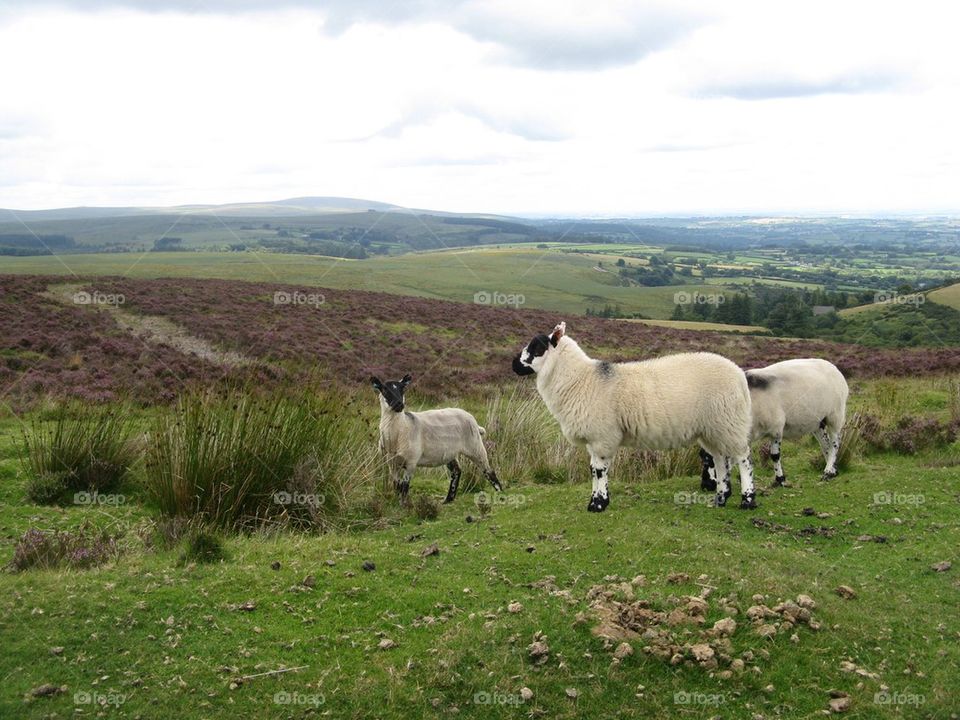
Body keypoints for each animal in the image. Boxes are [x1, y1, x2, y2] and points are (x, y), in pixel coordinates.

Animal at [370, 374, 502, 503]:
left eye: (402, 389)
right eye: (384, 390)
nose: (399, 405)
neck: (401, 429)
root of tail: (471, 418)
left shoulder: (411, 461)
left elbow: (405, 487)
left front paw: (403, 505)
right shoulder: (391, 463)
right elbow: (397, 485)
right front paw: (397, 503)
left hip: (475, 446)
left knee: (489, 471)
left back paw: (500, 493)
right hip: (450, 452)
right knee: (457, 471)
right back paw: (448, 499)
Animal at [512, 322, 757, 511]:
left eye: (536, 347)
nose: (514, 364)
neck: (581, 379)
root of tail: (739, 374)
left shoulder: (602, 436)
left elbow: (599, 470)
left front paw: (598, 504)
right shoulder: (594, 439)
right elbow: (593, 470)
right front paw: (597, 501)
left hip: (729, 422)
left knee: (743, 458)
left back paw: (747, 500)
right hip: (713, 429)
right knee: (720, 459)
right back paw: (721, 498)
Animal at [700, 358, 848, 490]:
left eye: (712, 460)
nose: (706, 486)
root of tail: (834, 368)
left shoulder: (776, 429)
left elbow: (775, 456)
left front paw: (780, 480)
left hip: (835, 415)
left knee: (835, 443)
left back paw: (827, 472)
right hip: (818, 422)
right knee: (826, 445)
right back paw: (833, 471)